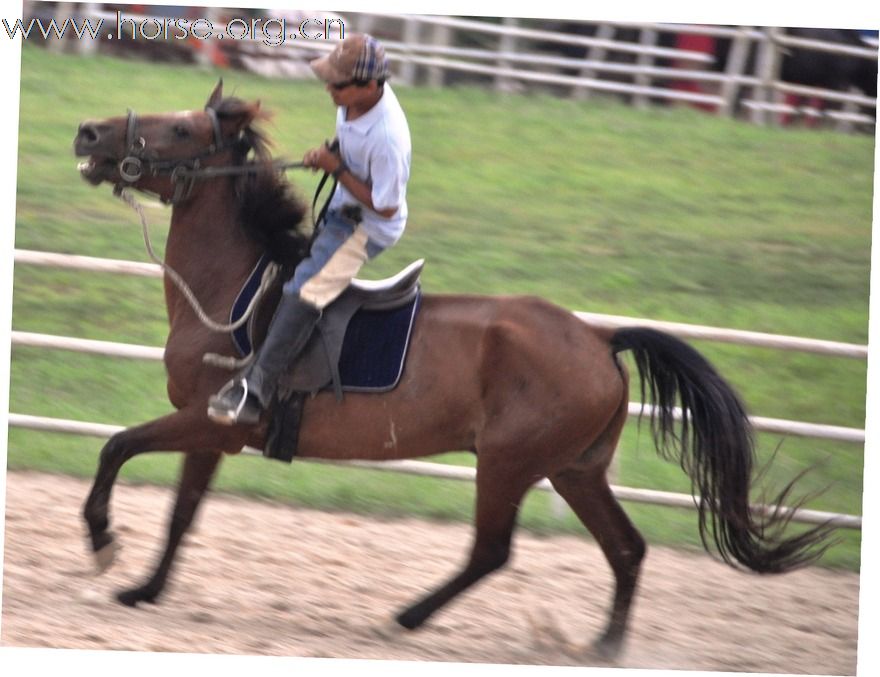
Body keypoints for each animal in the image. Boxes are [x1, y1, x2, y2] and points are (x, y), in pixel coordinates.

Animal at [74, 82, 832, 656]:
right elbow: (181, 513)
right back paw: (603, 645)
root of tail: (597, 337)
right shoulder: (211, 432)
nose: (86, 132)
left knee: (492, 550)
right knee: (627, 548)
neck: (234, 286)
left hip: (508, 462)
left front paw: (104, 542)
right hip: (575, 469)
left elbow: (118, 447)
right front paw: (144, 588)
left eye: (178, 128)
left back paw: (407, 617)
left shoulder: (212, 421)